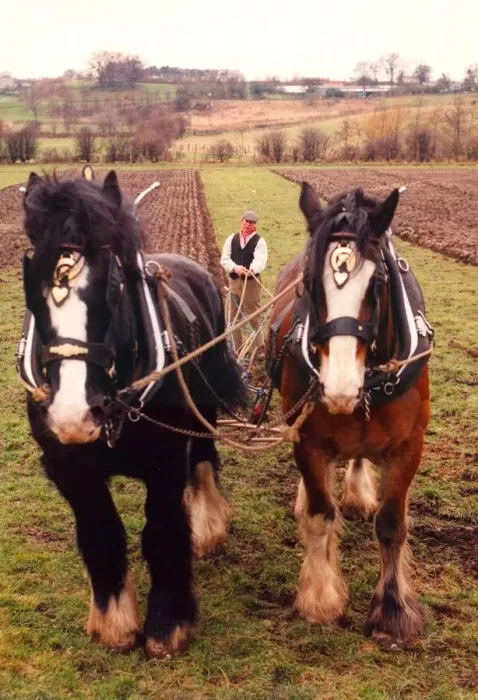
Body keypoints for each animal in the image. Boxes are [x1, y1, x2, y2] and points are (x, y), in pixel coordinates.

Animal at [18, 168, 246, 658]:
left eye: (113, 285)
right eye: (34, 286)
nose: (72, 415)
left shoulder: (166, 462)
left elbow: (162, 531)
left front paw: (168, 624)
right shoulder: (71, 469)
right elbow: (102, 534)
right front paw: (115, 623)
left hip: (202, 409)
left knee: (203, 460)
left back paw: (208, 527)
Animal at [267, 182, 433, 649]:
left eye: (377, 282)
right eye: (310, 283)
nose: (339, 387)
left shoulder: (409, 447)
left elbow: (392, 525)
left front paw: (392, 610)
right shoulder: (307, 441)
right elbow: (321, 515)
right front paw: (320, 596)